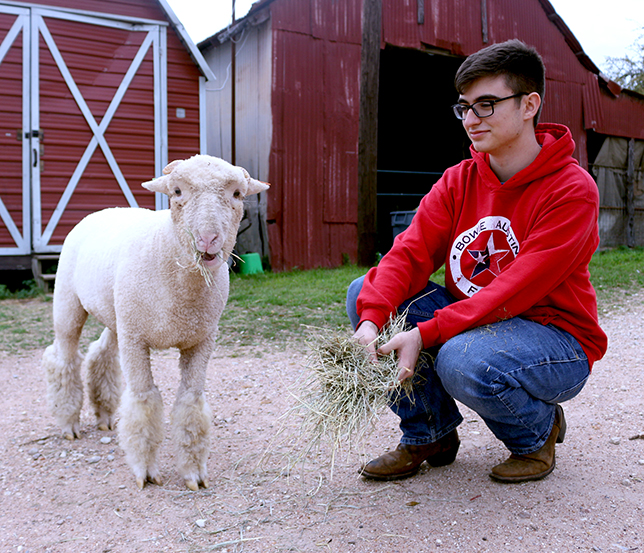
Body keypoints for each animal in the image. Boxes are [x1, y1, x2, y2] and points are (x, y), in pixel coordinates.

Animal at [42, 153, 270, 490]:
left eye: (237, 194)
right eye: (176, 192)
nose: (208, 239)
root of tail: (104, 210)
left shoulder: (201, 340)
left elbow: (190, 401)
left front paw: (193, 473)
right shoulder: (136, 341)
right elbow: (143, 399)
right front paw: (146, 472)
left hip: (118, 316)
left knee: (101, 353)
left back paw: (104, 415)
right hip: (69, 303)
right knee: (64, 358)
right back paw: (69, 423)